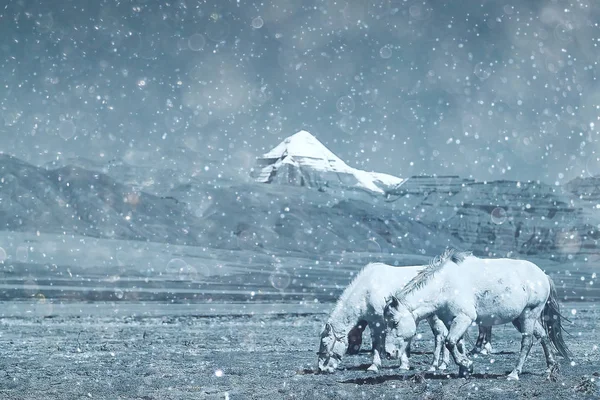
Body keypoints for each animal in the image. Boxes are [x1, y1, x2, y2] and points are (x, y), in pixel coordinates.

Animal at [316, 264, 490, 374]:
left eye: (325, 343)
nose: (321, 369)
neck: (367, 291)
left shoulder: (379, 324)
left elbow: (377, 344)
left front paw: (376, 365)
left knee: (442, 335)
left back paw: (441, 365)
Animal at [384, 248, 572, 380]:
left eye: (394, 322)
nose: (389, 353)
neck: (444, 286)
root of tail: (544, 276)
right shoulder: (452, 320)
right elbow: (457, 343)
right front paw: (465, 370)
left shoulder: (464, 318)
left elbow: (450, 342)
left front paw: (466, 364)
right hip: (520, 318)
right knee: (543, 336)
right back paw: (550, 368)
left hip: (529, 315)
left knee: (527, 342)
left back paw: (514, 373)